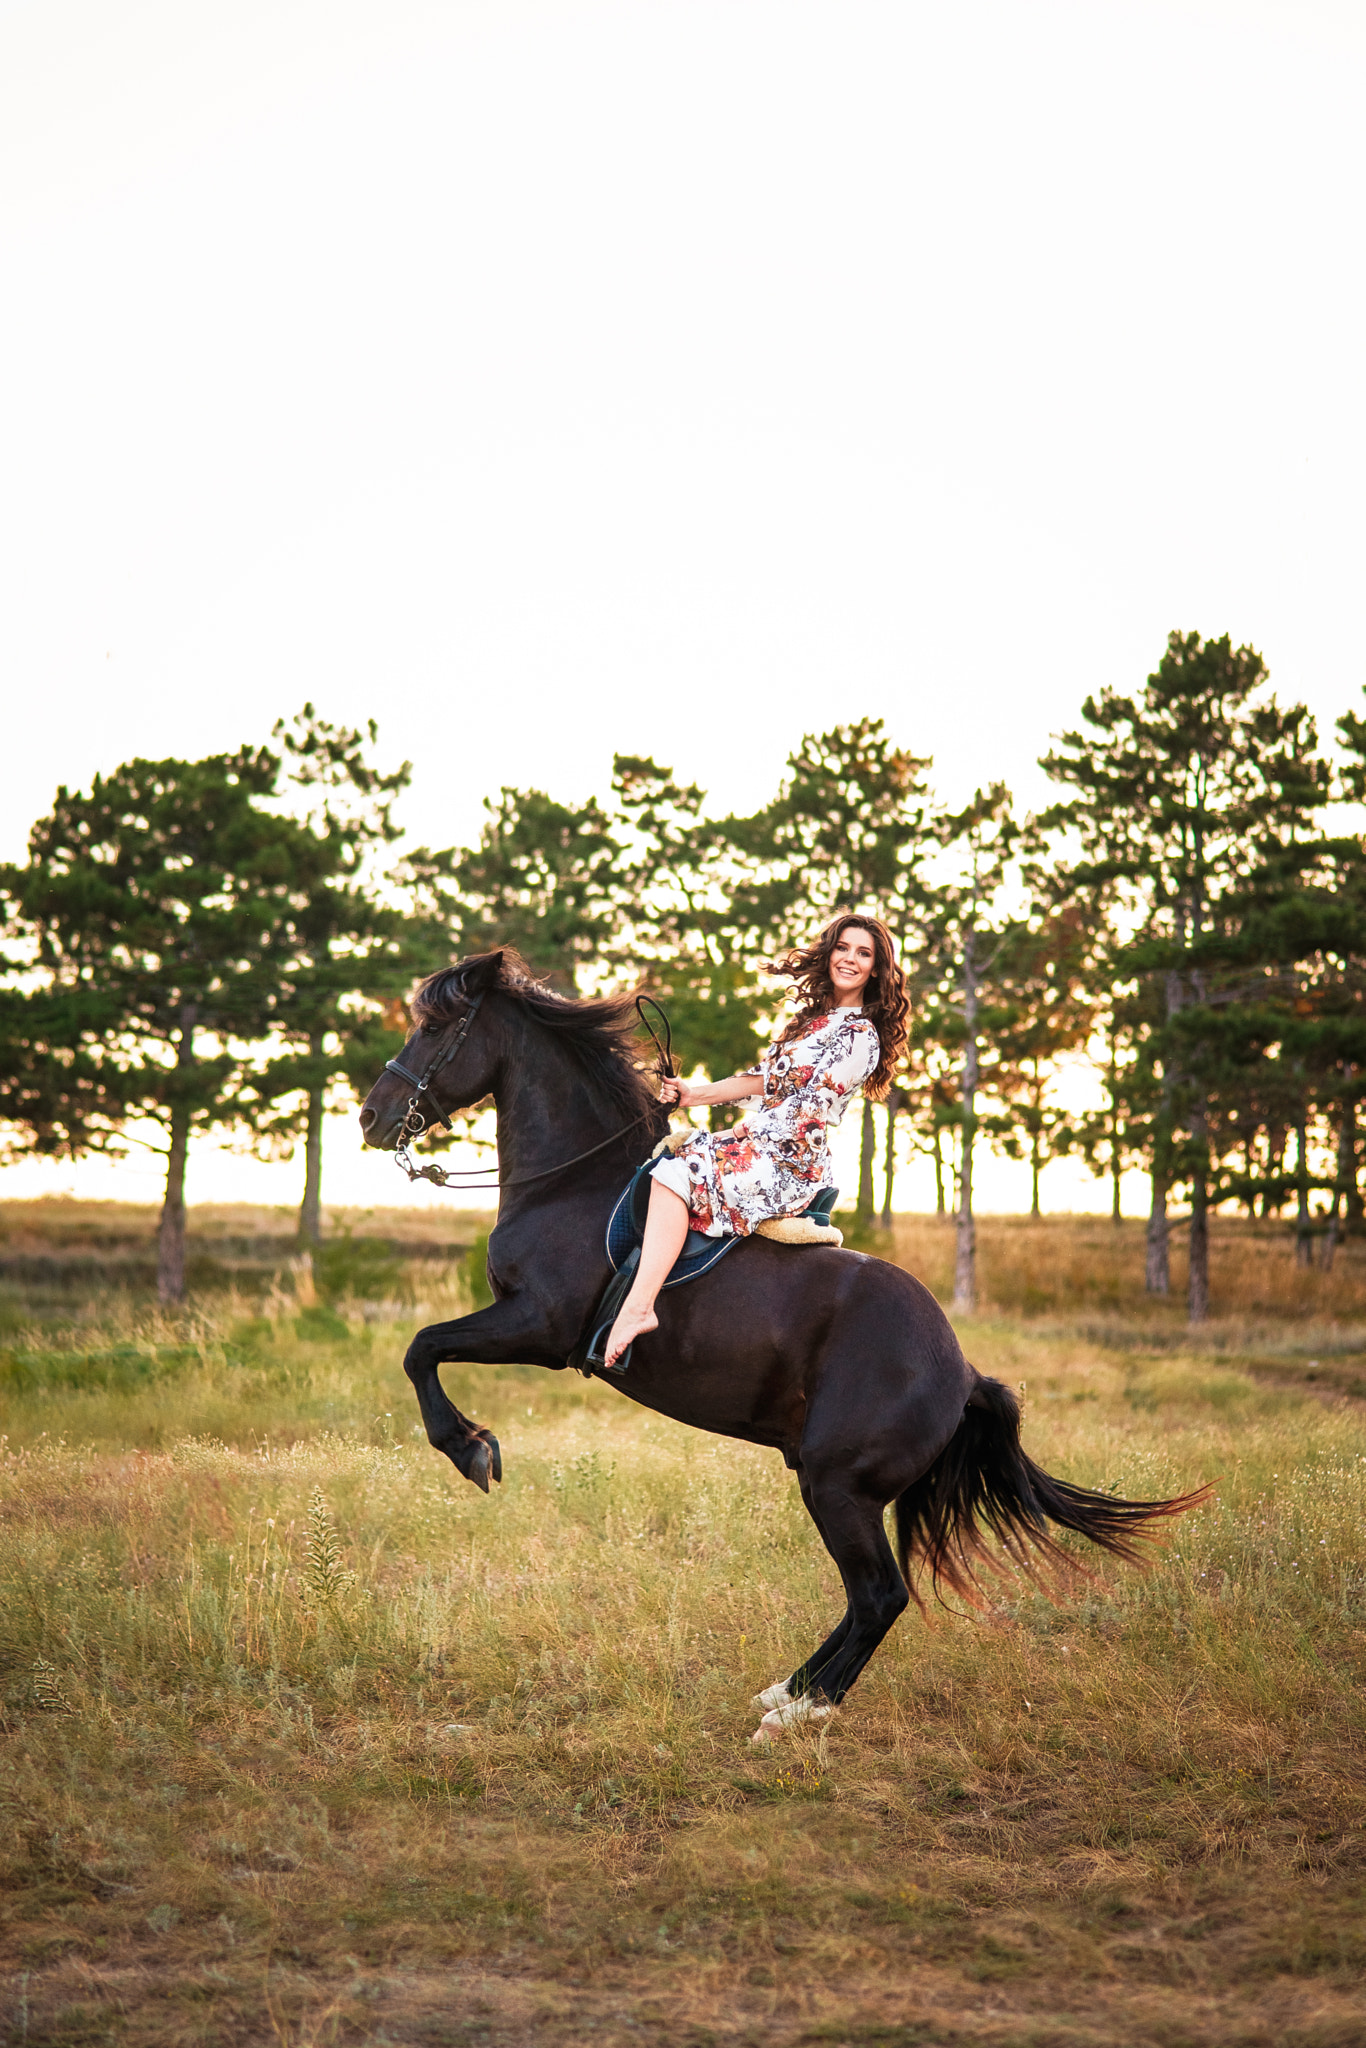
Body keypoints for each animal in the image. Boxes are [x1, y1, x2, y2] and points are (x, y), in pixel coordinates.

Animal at [360, 950, 1204, 1720]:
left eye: (433, 1026)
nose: (371, 1116)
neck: (572, 1184)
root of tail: (962, 1373)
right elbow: (424, 1348)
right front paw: (474, 1446)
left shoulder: (538, 1326)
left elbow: (421, 1348)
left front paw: (472, 1450)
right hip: (841, 1488)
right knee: (868, 1597)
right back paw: (787, 1690)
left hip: (837, 1486)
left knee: (878, 1596)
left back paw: (800, 1712)